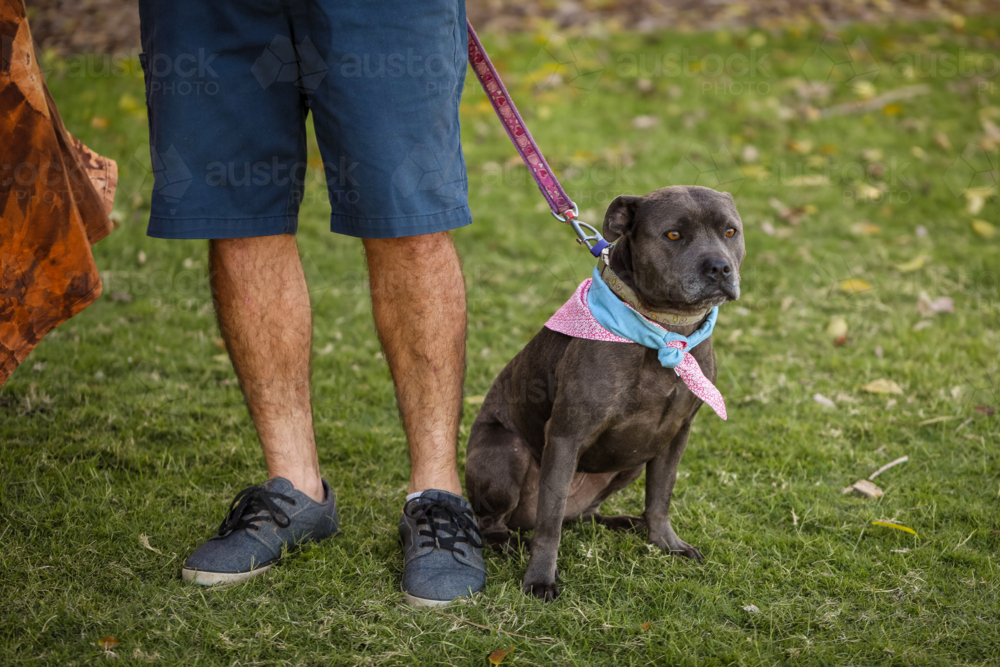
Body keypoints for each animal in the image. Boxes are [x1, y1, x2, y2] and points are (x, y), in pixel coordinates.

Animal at [466, 185, 744, 604]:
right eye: (673, 235)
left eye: (730, 232)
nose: (719, 268)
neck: (664, 330)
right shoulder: (566, 435)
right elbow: (549, 525)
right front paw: (540, 578)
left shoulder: (674, 435)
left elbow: (660, 497)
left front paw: (666, 543)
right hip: (505, 452)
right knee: (498, 521)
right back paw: (507, 541)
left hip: (630, 461)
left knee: (582, 514)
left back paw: (625, 521)